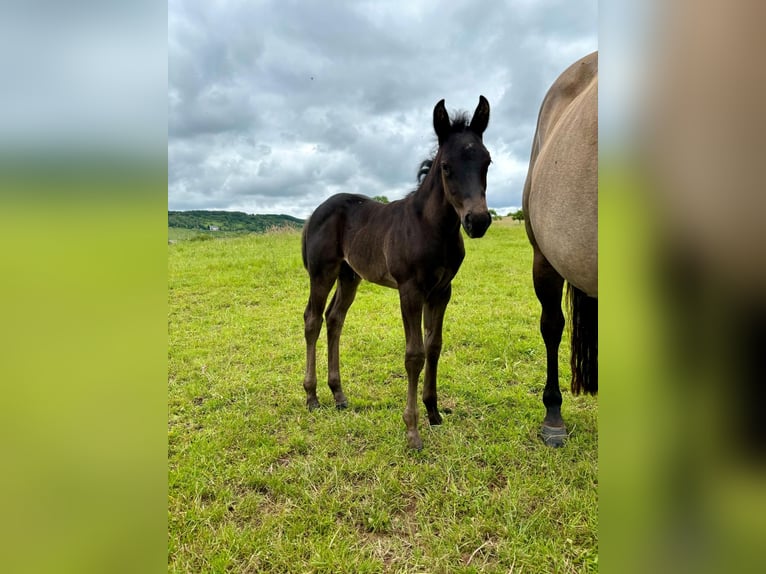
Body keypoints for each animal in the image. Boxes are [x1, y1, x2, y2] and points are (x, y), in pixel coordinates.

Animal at [302, 97, 492, 452]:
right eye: (446, 166)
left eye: (487, 162)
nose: (478, 221)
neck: (432, 228)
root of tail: (315, 212)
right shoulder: (411, 290)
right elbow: (414, 354)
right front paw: (412, 430)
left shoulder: (442, 291)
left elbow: (434, 346)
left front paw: (433, 413)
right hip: (322, 272)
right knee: (313, 319)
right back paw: (311, 396)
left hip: (349, 275)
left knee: (334, 319)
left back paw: (339, 394)